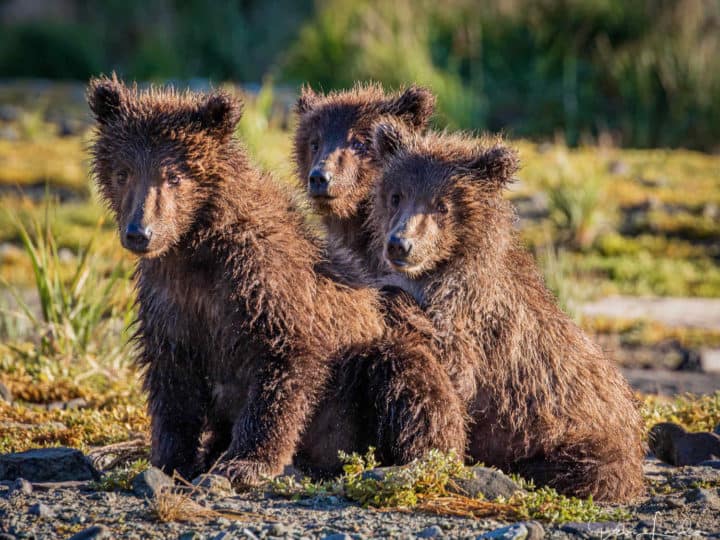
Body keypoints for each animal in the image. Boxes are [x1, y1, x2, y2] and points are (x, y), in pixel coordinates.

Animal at [367, 118, 645, 502]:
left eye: (441, 205)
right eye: (396, 195)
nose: (400, 244)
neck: (440, 271)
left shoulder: (476, 322)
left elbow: (455, 365)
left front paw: (388, 295)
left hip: (587, 436)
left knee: (587, 469)